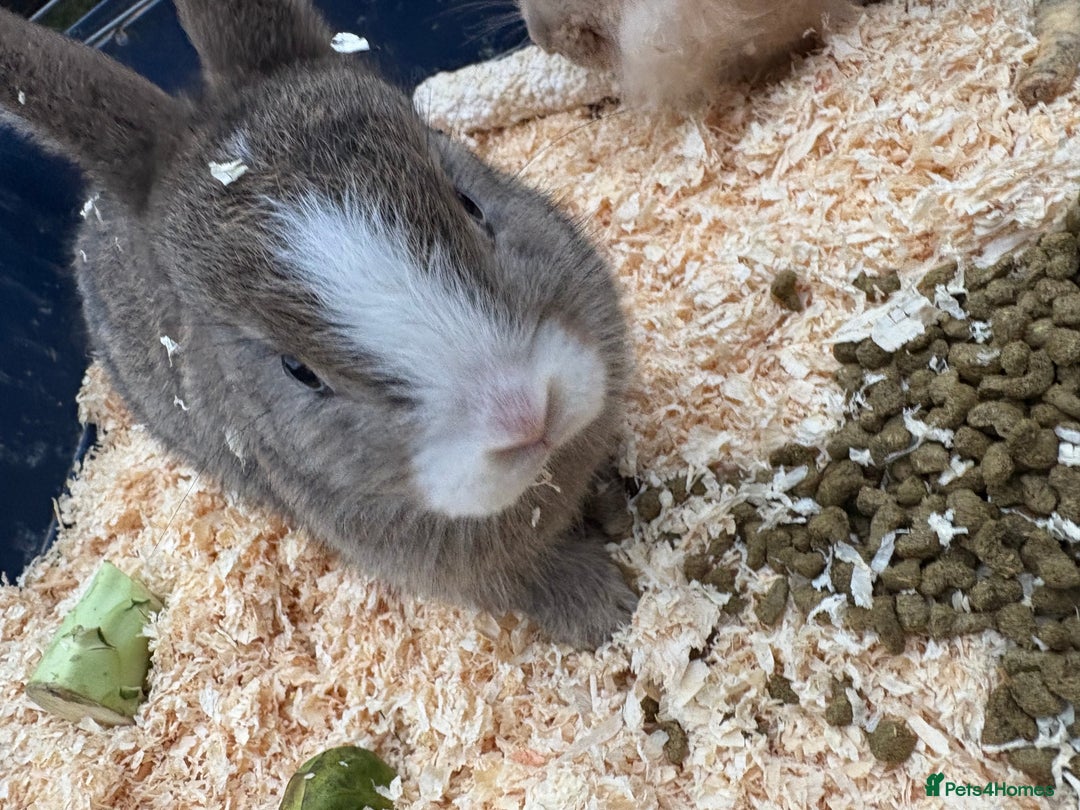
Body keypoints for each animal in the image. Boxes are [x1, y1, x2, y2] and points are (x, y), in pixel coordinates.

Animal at [0, 0, 637, 648]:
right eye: (298, 370)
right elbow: (534, 581)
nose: (527, 413)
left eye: (469, 203)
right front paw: (612, 609)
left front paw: (620, 508)